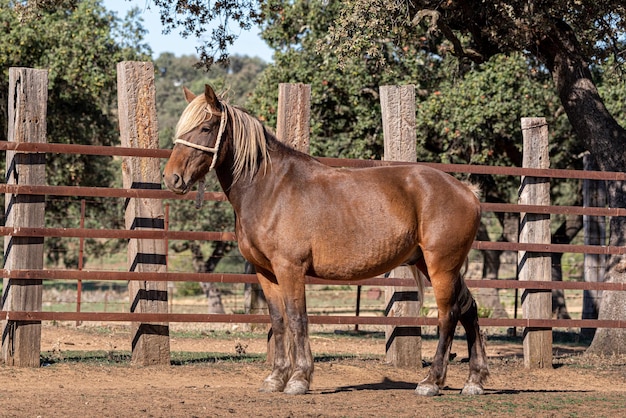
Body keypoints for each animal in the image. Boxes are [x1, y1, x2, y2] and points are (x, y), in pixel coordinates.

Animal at [161, 84, 488, 396]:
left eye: (205, 127)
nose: (171, 178)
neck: (270, 188)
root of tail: (467, 191)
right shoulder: (265, 272)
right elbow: (278, 321)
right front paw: (275, 378)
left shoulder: (290, 269)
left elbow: (297, 318)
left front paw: (299, 379)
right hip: (431, 264)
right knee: (468, 307)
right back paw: (474, 381)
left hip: (441, 267)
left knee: (448, 315)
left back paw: (431, 381)